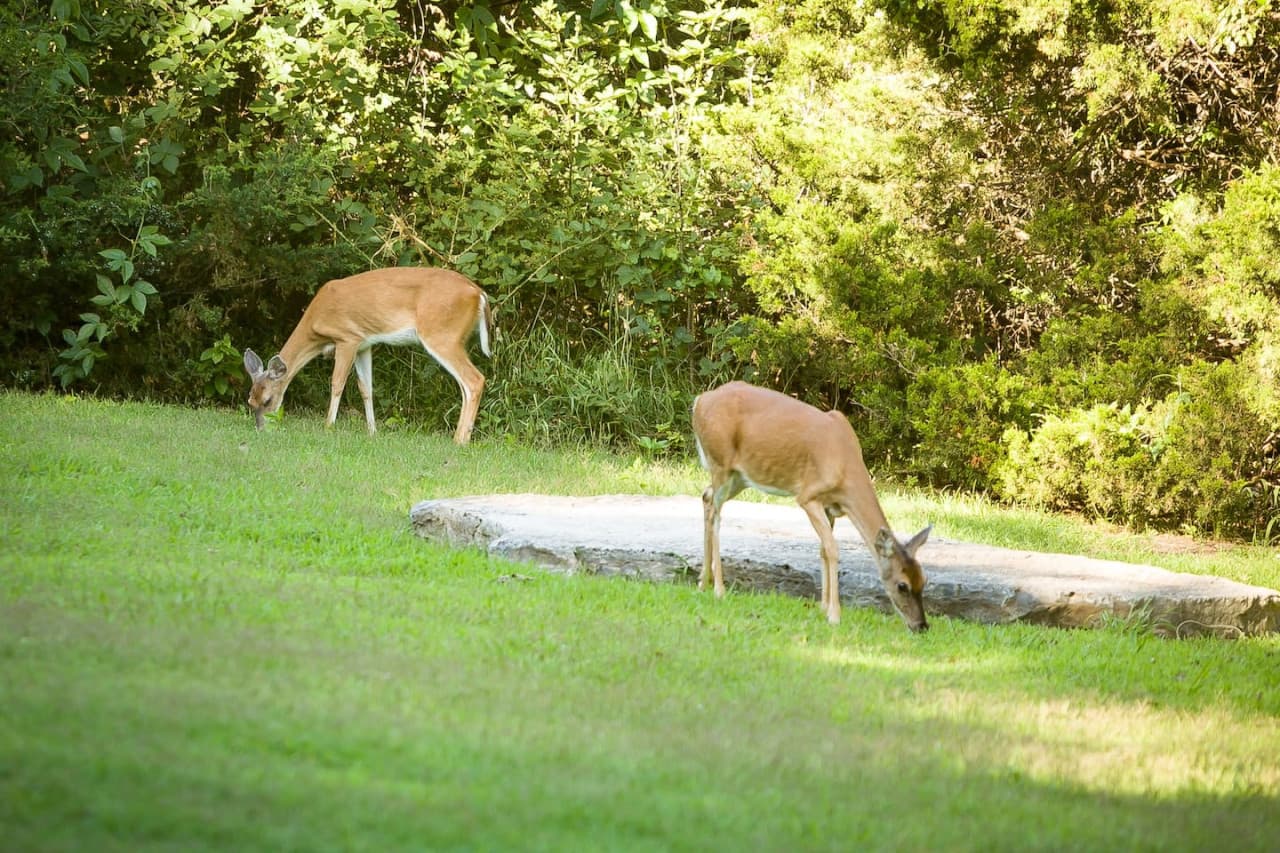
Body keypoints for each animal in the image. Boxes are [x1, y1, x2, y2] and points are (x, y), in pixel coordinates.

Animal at [242, 266, 493, 444]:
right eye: (250, 400)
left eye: (268, 400)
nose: (261, 429)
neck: (315, 323)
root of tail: (479, 294)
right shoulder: (365, 344)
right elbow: (366, 388)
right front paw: (372, 432)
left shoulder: (347, 338)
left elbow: (337, 383)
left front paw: (328, 427)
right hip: (451, 338)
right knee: (465, 385)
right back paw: (458, 437)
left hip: (442, 334)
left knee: (474, 379)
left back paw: (460, 441)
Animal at [692, 380, 931, 631]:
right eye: (902, 585)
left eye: (923, 579)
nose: (922, 625)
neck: (845, 465)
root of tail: (700, 400)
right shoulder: (808, 496)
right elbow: (833, 548)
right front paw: (834, 615)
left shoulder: (830, 506)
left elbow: (823, 549)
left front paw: (823, 607)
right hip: (720, 463)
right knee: (716, 514)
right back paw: (719, 589)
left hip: (739, 477)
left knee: (706, 497)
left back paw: (703, 583)